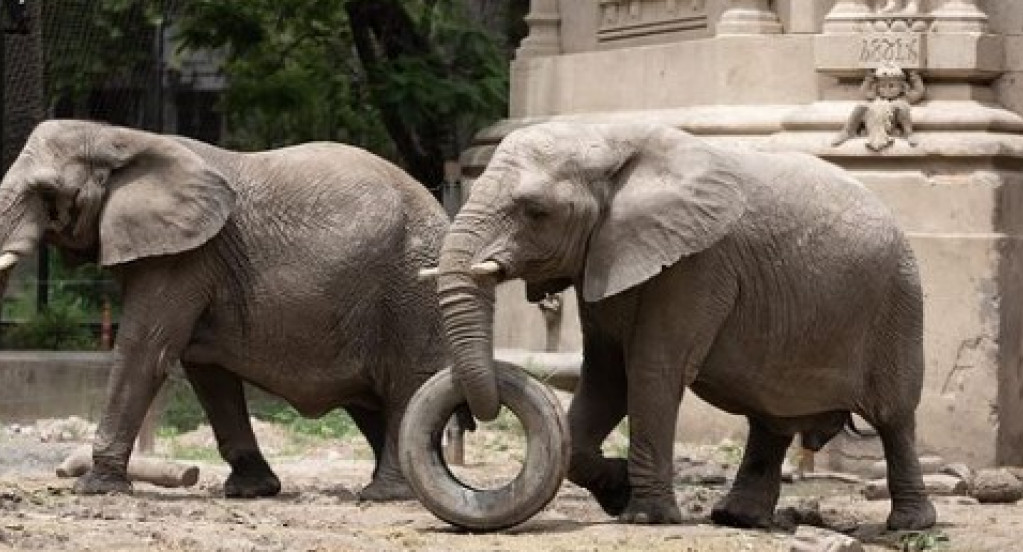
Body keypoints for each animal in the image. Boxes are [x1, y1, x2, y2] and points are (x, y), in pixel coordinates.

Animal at [0, 119, 452, 500]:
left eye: (46, 194)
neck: (118, 136)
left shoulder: (186, 258)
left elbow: (144, 351)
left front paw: (96, 488)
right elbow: (205, 370)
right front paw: (253, 490)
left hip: (412, 292)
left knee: (406, 385)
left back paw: (385, 494)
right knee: (370, 402)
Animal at [431, 121, 937, 531]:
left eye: (535, 211)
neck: (609, 138)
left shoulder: (697, 265)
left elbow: (652, 372)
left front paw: (643, 517)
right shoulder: (607, 256)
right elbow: (606, 379)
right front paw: (618, 491)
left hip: (899, 304)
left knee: (894, 416)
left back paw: (910, 526)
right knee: (770, 417)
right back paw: (737, 518)